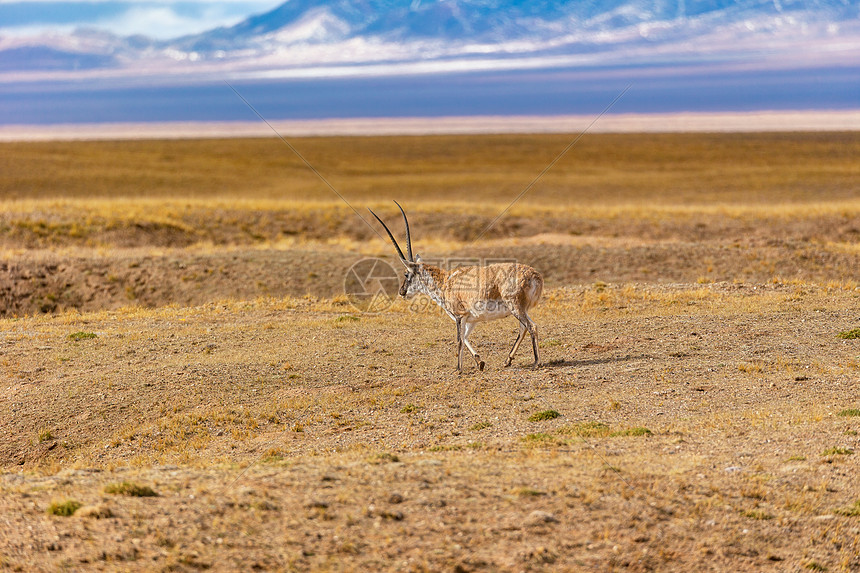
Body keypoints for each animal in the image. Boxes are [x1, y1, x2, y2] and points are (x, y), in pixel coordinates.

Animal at [370, 201, 544, 370]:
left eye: (406, 274)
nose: (402, 291)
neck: (445, 281)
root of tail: (535, 276)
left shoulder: (459, 316)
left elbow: (459, 340)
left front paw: (458, 368)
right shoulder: (470, 319)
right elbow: (465, 337)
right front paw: (479, 362)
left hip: (515, 307)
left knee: (531, 327)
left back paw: (536, 362)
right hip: (521, 309)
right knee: (523, 328)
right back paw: (508, 361)